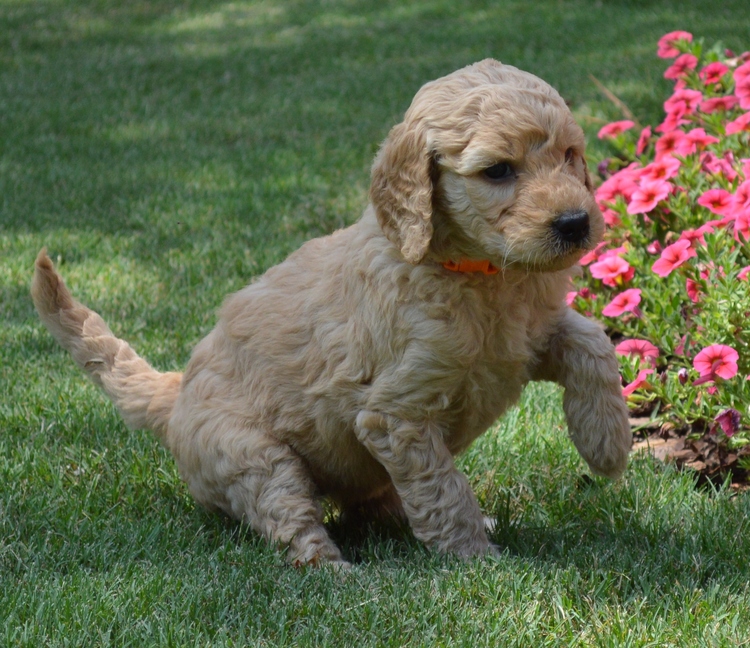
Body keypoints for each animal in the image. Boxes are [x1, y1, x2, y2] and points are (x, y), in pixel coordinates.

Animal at [33, 59, 636, 568]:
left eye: (569, 154)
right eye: (497, 171)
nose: (576, 223)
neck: (480, 274)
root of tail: (175, 394)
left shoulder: (527, 337)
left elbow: (591, 340)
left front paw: (606, 443)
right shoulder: (395, 414)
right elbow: (442, 485)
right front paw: (475, 557)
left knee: (371, 501)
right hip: (252, 456)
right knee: (289, 515)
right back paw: (333, 568)